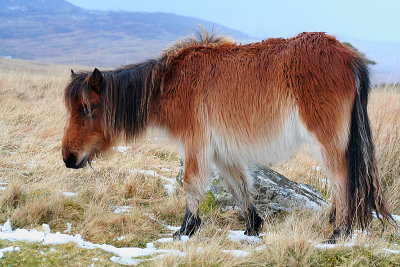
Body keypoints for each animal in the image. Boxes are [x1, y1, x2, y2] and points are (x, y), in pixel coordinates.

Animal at [61, 29, 390, 243]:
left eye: (87, 108)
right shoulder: (223, 151)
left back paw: (338, 233)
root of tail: (348, 56)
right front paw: (253, 228)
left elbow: (192, 183)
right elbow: (239, 186)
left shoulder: (196, 143)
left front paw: (185, 230)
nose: (68, 158)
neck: (167, 83)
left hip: (326, 138)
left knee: (341, 178)